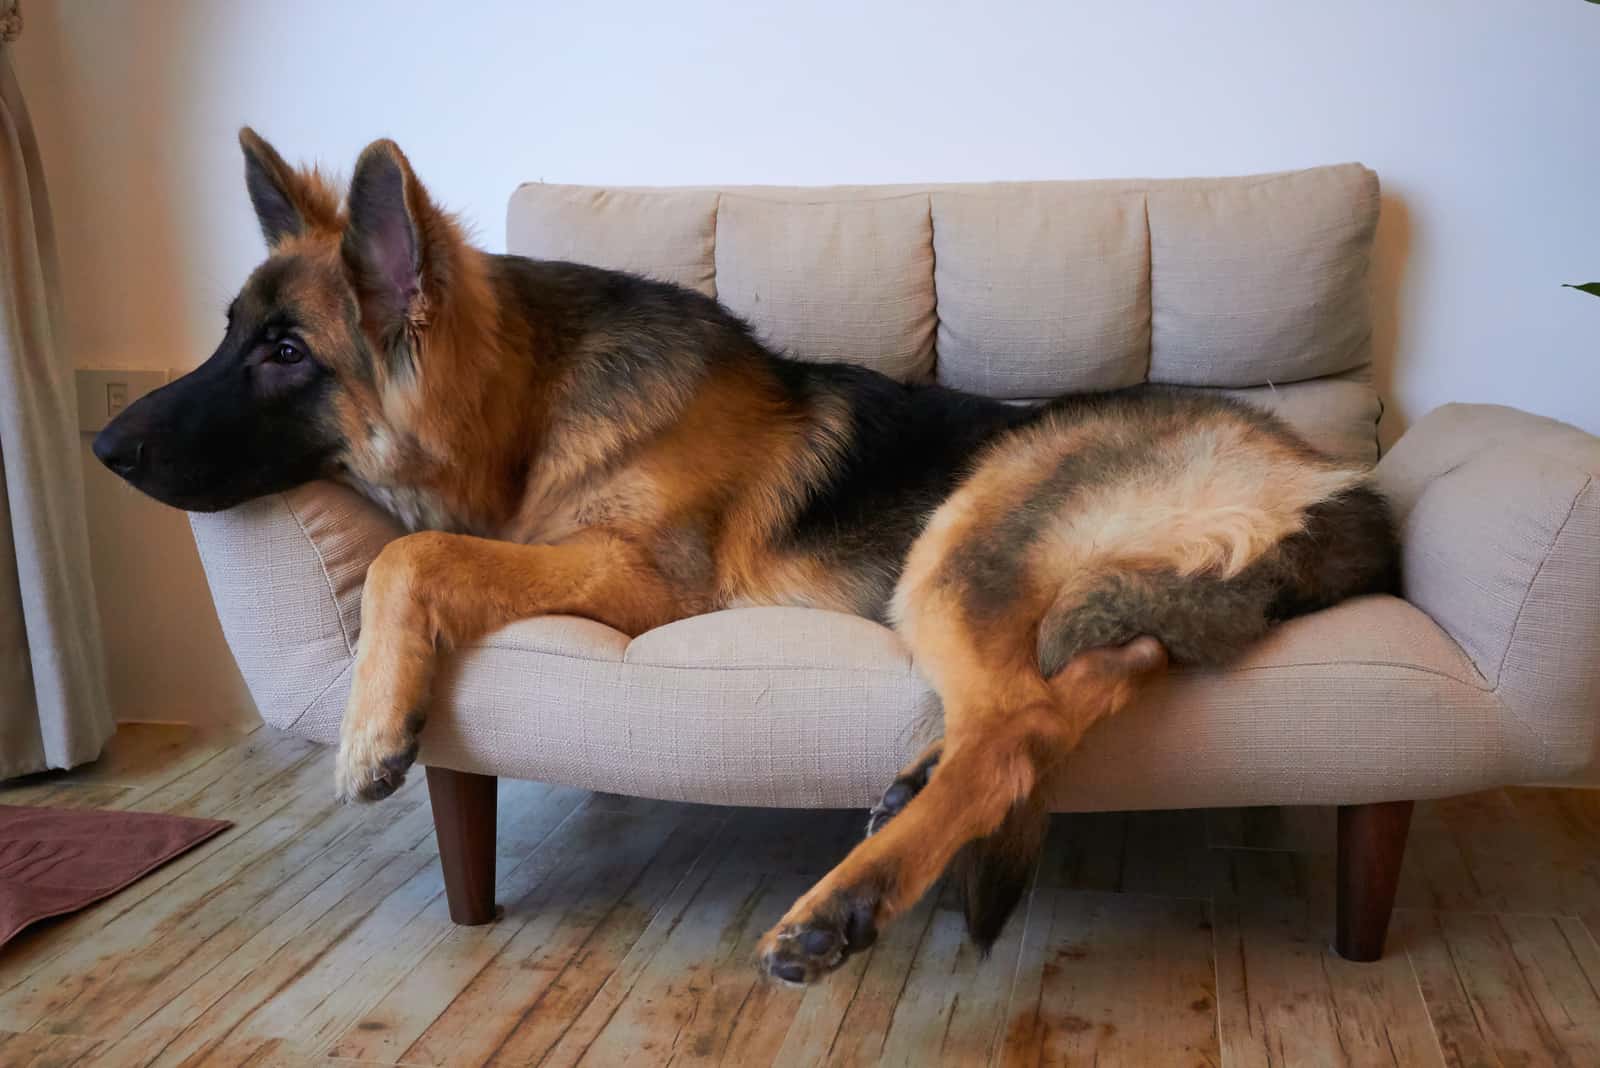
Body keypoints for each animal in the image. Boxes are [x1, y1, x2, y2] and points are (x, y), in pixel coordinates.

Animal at [103, 131, 1401, 984]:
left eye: (285, 351)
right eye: (231, 331)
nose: (104, 443)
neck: (533, 403)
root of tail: (1325, 480)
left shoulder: (644, 581)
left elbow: (408, 556)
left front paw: (374, 730)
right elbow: (425, 549)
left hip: (957, 540)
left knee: (1013, 733)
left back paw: (850, 899)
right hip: (1078, 595)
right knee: (1063, 696)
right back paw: (909, 788)